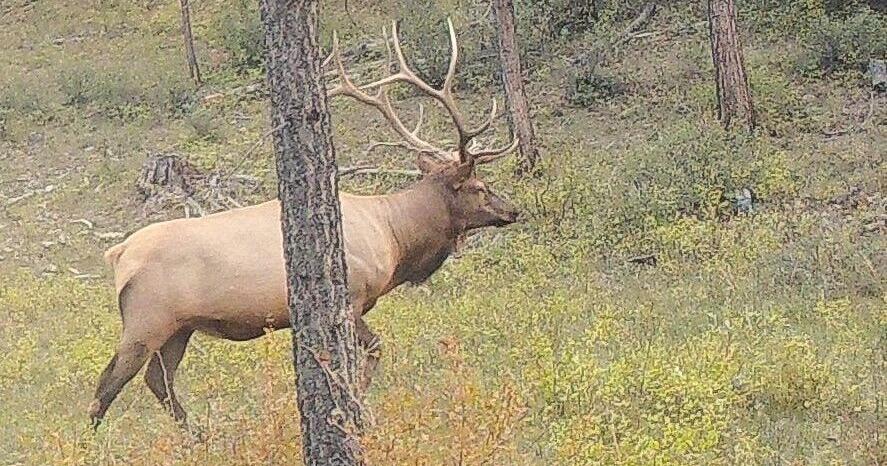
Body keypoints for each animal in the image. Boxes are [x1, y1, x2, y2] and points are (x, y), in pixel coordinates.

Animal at [88, 19, 522, 429]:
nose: (513, 210)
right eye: (480, 187)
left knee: (158, 380)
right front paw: (357, 410)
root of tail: (118, 253)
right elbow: (372, 350)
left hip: (180, 327)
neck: (395, 240)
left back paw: (197, 437)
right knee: (109, 382)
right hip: (147, 318)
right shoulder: (352, 297)